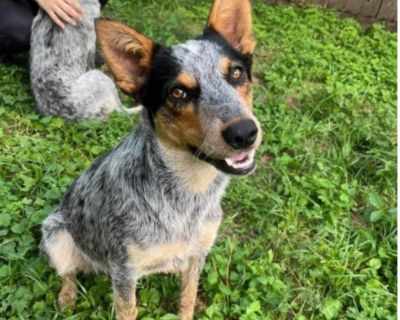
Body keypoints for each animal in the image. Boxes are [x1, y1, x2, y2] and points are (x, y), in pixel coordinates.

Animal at [39, 0, 260, 318]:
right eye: (178, 92)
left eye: (237, 73)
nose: (244, 132)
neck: (188, 196)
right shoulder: (124, 272)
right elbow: (127, 310)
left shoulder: (198, 254)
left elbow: (188, 299)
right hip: (56, 235)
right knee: (68, 272)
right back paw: (67, 297)